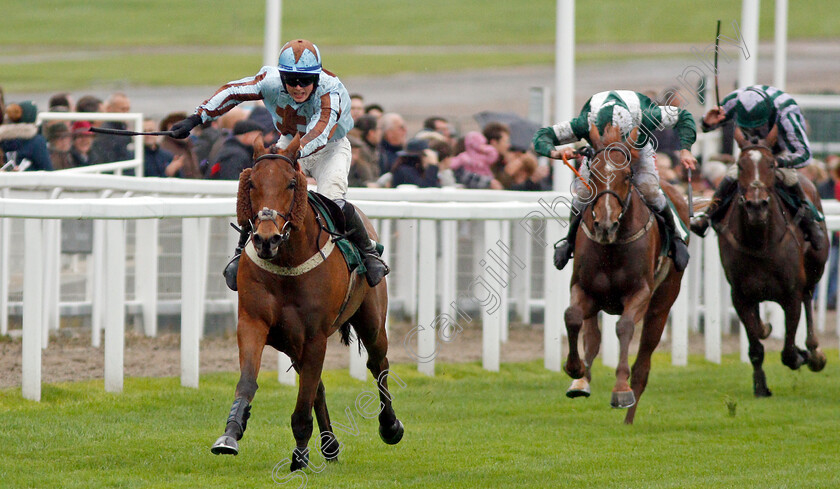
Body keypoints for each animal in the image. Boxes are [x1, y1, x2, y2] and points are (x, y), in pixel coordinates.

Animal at [212, 133, 406, 468]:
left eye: (291, 183)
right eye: (251, 184)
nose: (266, 239)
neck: (287, 262)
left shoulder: (315, 335)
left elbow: (304, 402)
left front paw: (299, 455)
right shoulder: (253, 322)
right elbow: (249, 381)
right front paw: (230, 433)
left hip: (371, 321)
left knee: (378, 364)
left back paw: (390, 426)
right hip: (292, 341)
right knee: (317, 384)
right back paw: (330, 446)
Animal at [556, 125, 688, 424]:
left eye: (627, 175)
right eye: (593, 173)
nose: (605, 224)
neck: (611, 247)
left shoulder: (641, 293)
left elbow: (624, 327)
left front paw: (620, 390)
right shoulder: (583, 288)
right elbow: (572, 317)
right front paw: (574, 369)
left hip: (662, 305)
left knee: (643, 364)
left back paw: (629, 418)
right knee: (592, 337)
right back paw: (582, 382)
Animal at [716, 127, 828, 394]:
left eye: (770, 164)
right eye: (740, 165)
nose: (756, 205)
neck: (759, 240)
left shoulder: (791, 294)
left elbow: (788, 351)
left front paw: (801, 354)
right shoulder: (741, 295)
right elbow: (756, 344)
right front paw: (760, 386)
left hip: (815, 268)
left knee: (809, 296)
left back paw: (814, 352)